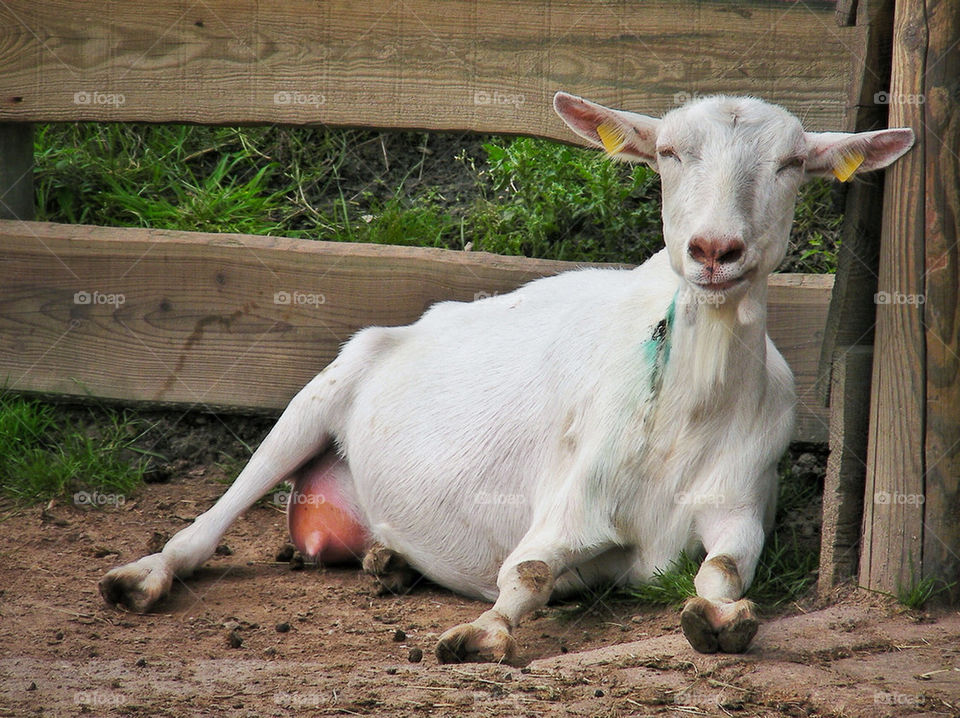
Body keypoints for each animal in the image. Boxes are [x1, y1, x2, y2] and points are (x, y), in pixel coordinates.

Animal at [99, 94, 916, 664]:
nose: (716, 250)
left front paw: (721, 621)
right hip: (323, 391)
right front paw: (480, 633)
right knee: (218, 512)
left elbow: (722, 570)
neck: (683, 411)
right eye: (669, 152)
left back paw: (387, 561)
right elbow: (524, 570)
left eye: (791, 164)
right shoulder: (572, 494)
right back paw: (142, 575)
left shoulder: (739, 498)